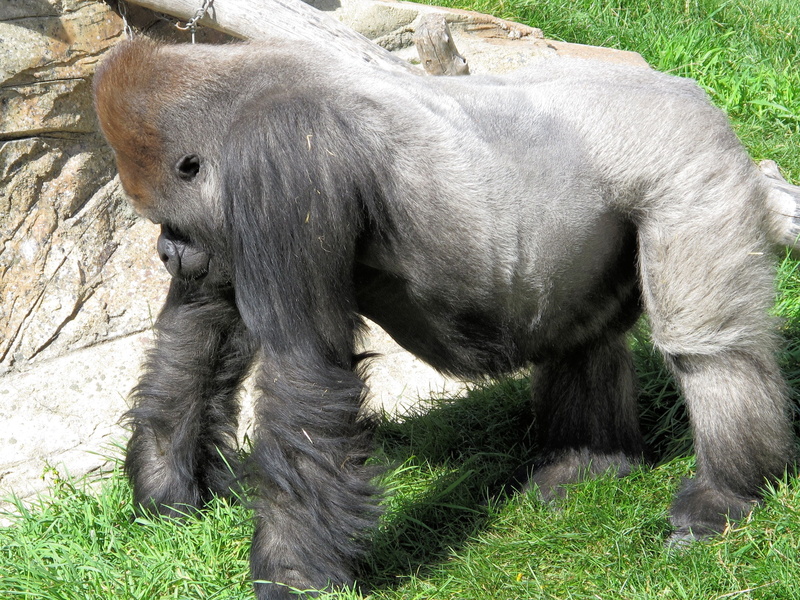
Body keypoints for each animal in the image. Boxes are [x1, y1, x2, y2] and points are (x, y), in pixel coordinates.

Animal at [93, 39, 799, 599]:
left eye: (170, 222)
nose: (166, 252)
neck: (240, 99)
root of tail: (685, 87)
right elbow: (199, 336)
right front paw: (165, 489)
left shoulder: (280, 167)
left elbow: (303, 375)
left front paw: (291, 573)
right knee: (584, 338)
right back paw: (589, 462)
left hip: (692, 160)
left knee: (708, 349)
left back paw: (727, 493)